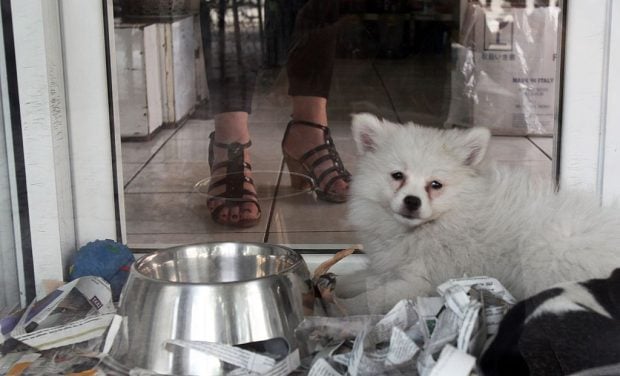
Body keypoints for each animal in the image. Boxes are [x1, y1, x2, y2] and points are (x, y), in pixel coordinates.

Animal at [336, 113, 620, 312]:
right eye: (397, 176)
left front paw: (340, 308)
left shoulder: (420, 282)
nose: (412, 202)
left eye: (435, 185)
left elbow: (371, 298)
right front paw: (336, 285)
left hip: (549, 249)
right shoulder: (389, 269)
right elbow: (361, 278)